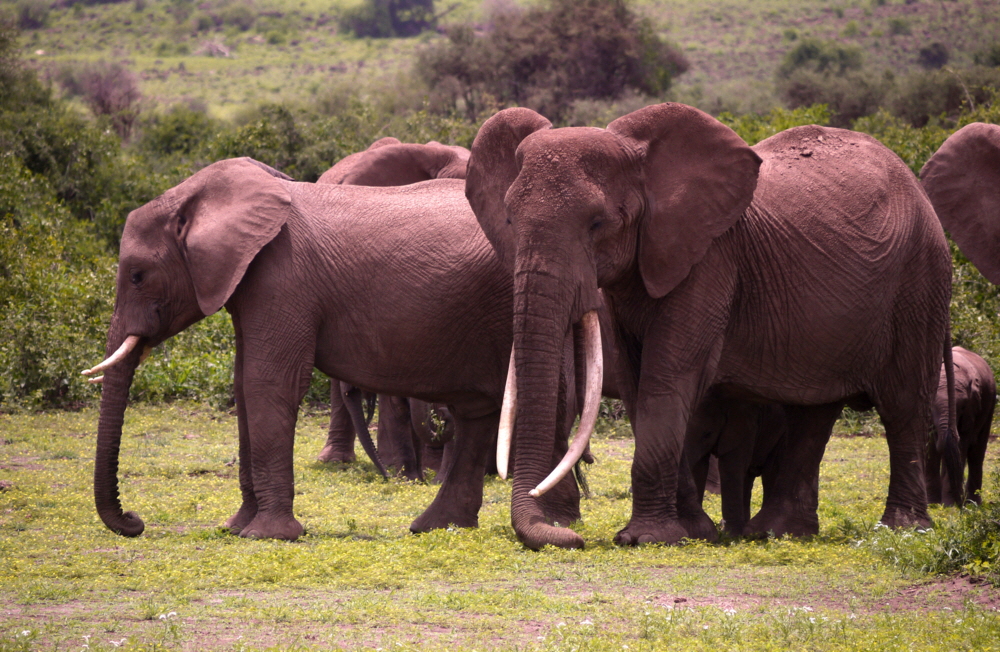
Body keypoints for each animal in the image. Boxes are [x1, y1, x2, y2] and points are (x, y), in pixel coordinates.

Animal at [84, 157, 592, 540]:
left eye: (137, 276)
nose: (133, 521)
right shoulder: (251, 285)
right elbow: (245, 387)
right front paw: (235, 528)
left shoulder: (281, 276)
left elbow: (268, 383)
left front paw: (267, 535)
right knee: (478, 411)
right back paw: (437, 527)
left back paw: (552, 524)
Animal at [468, 103, 952, 552]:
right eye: (509, 219)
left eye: (598, 223)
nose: (571, 537)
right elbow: (637, 383)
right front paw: (693, 531)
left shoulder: (712, 258)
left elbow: (668, 377)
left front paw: (646, 538)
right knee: (814, 411)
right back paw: (778, 532)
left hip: (920, 277)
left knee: (903, 402)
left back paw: (902, 530)